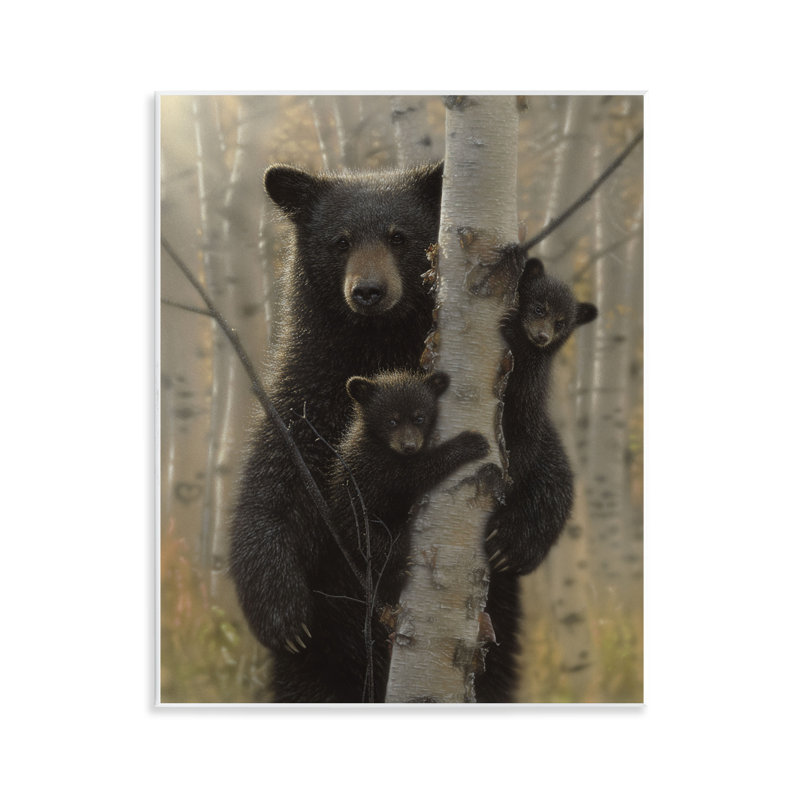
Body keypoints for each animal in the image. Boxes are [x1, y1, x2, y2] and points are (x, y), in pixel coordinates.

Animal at [229, 163, 444, 696]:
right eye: (340, 241)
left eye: (399, 236)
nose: (368, 291)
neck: (373, 349)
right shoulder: (305, 402)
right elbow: (271, 491)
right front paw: (283, 616)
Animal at [267, 369, 490, 702]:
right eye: (392, 420)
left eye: (420, 417)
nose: (409, 445)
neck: (379, 442)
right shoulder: (377, 467)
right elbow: (415, 474)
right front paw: (470, 443)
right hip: (364, 532)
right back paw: (398, 572)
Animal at [475, 257, 598, 703]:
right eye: (539, 307)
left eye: (562, 322)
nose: (542, 336)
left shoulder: (527, 401)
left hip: (553, 490)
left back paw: (507, 546)